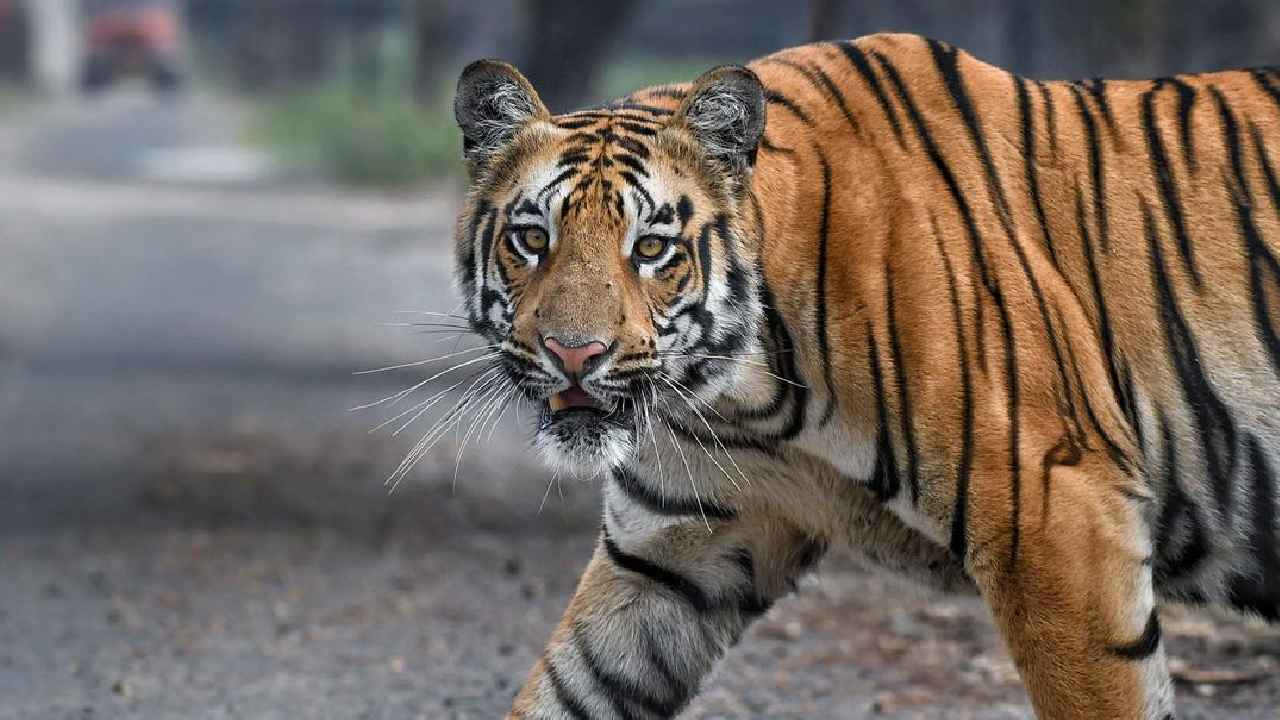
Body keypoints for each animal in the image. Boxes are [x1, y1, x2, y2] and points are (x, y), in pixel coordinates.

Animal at [446, 32, 1280, 719]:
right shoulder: (669, 554)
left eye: (651, 248)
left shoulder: (1058, 517)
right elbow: (569, 688)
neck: (741, 396)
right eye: (532, 238)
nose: (573, 353)